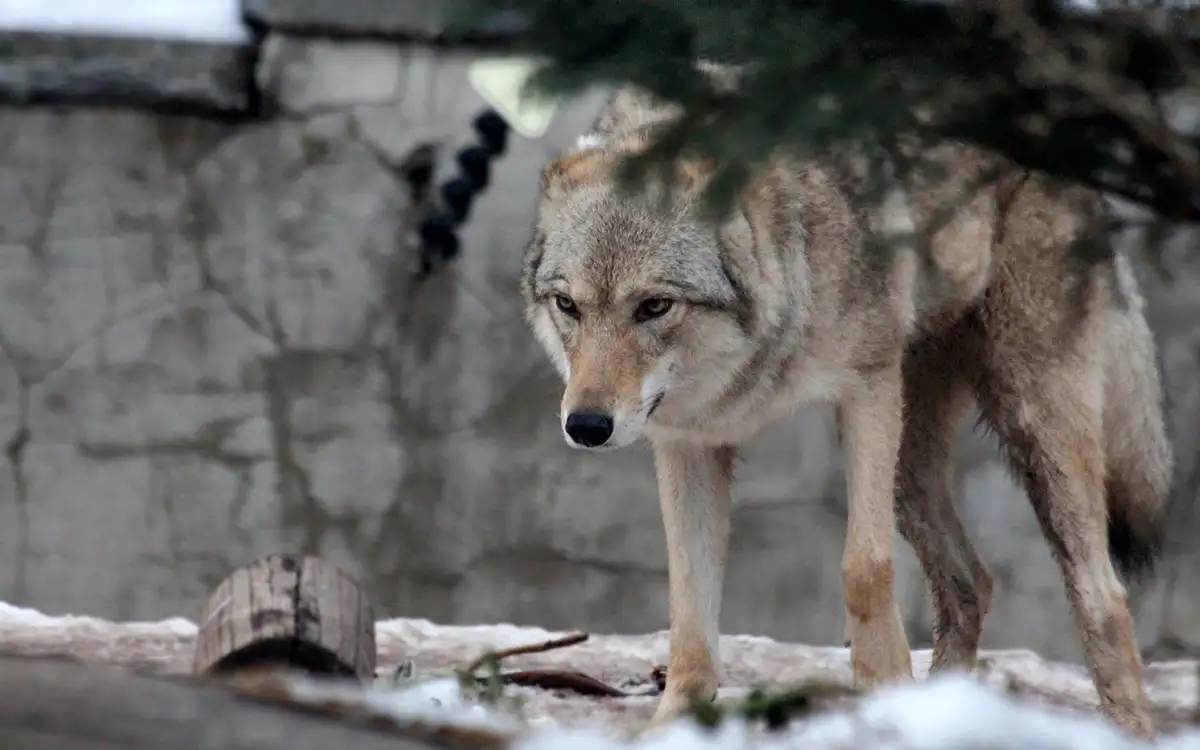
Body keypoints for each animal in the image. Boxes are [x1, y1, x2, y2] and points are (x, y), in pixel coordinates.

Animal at [518, 77, 1171, 739]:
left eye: (653, 306)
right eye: (568, 305)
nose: (587, 426)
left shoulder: (867, 390)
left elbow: (865, 569)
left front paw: (884, 693)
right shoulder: (688, 443)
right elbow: (690, 608)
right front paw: (674, 725)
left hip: (1030, 423)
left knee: (1105, 595)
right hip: (913, 465)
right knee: (972, 581)